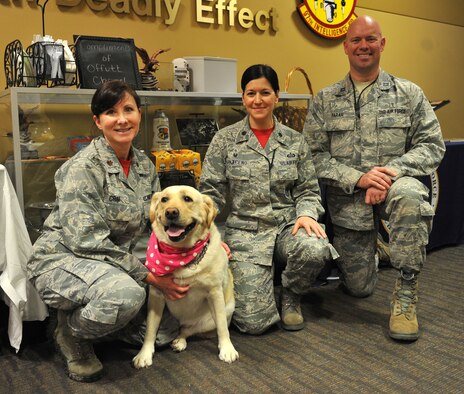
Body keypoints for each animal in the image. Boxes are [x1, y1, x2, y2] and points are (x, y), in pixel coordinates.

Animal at [131, 184, 237, 366]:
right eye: (164, 199)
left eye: (187, 198)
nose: (171, 212)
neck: (181, 254)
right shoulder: (156, 295)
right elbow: (150, 330)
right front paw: (144, 353)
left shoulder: (215, 293)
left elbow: (223, 327)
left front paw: (227, 349)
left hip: (217, 314)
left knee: (190, 329)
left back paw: (180, 340)